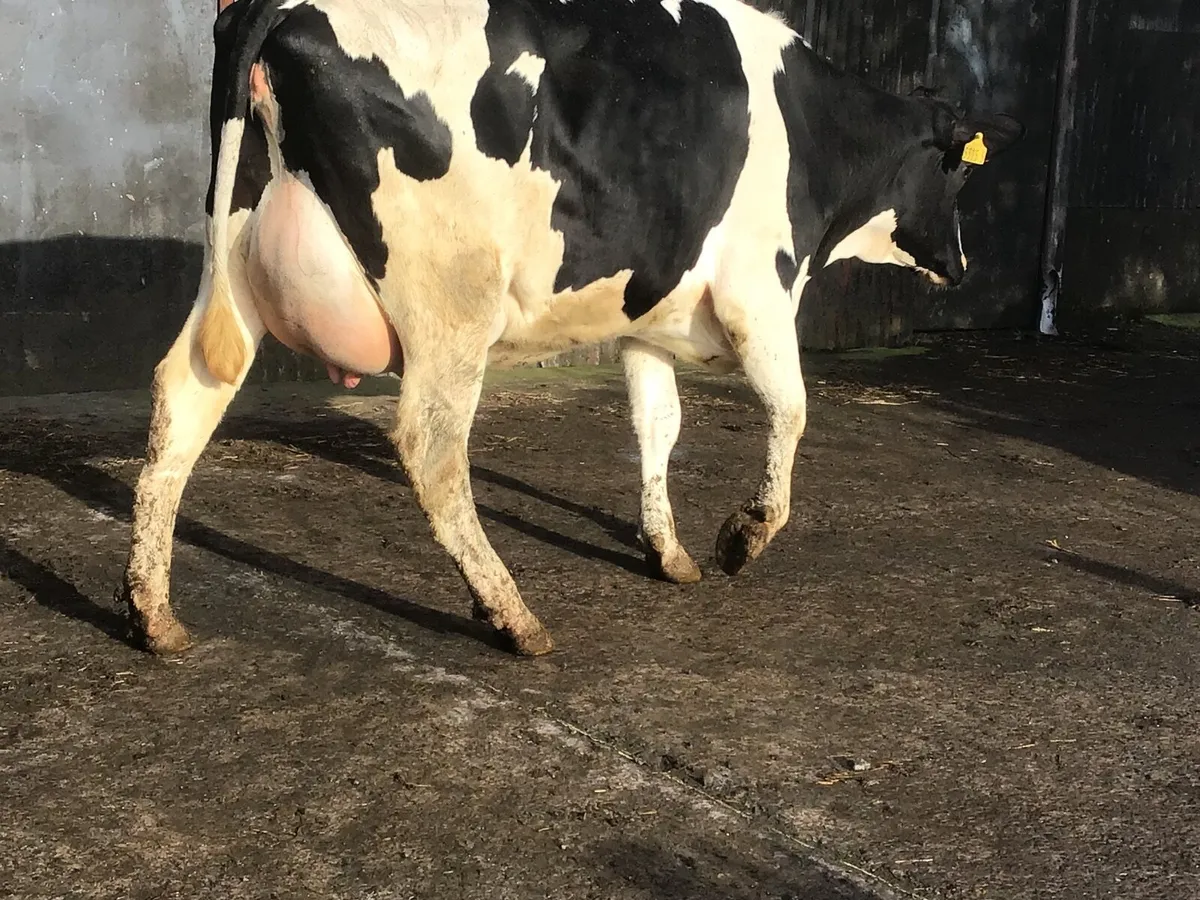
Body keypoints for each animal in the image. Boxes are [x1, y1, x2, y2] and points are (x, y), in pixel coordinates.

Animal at [120, 0, 1023, 658]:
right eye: (957, 172)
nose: (963, 264)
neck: (817, 130)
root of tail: (281, 7)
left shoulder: (649, 318)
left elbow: (659, 426)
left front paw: (669, 552)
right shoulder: (759, 293)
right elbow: (791, 413)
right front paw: (742, 538)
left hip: (237, 263)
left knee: (183, 401)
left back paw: (152, 614)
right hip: (453, 298)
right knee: (431, 447)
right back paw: (512, 615)